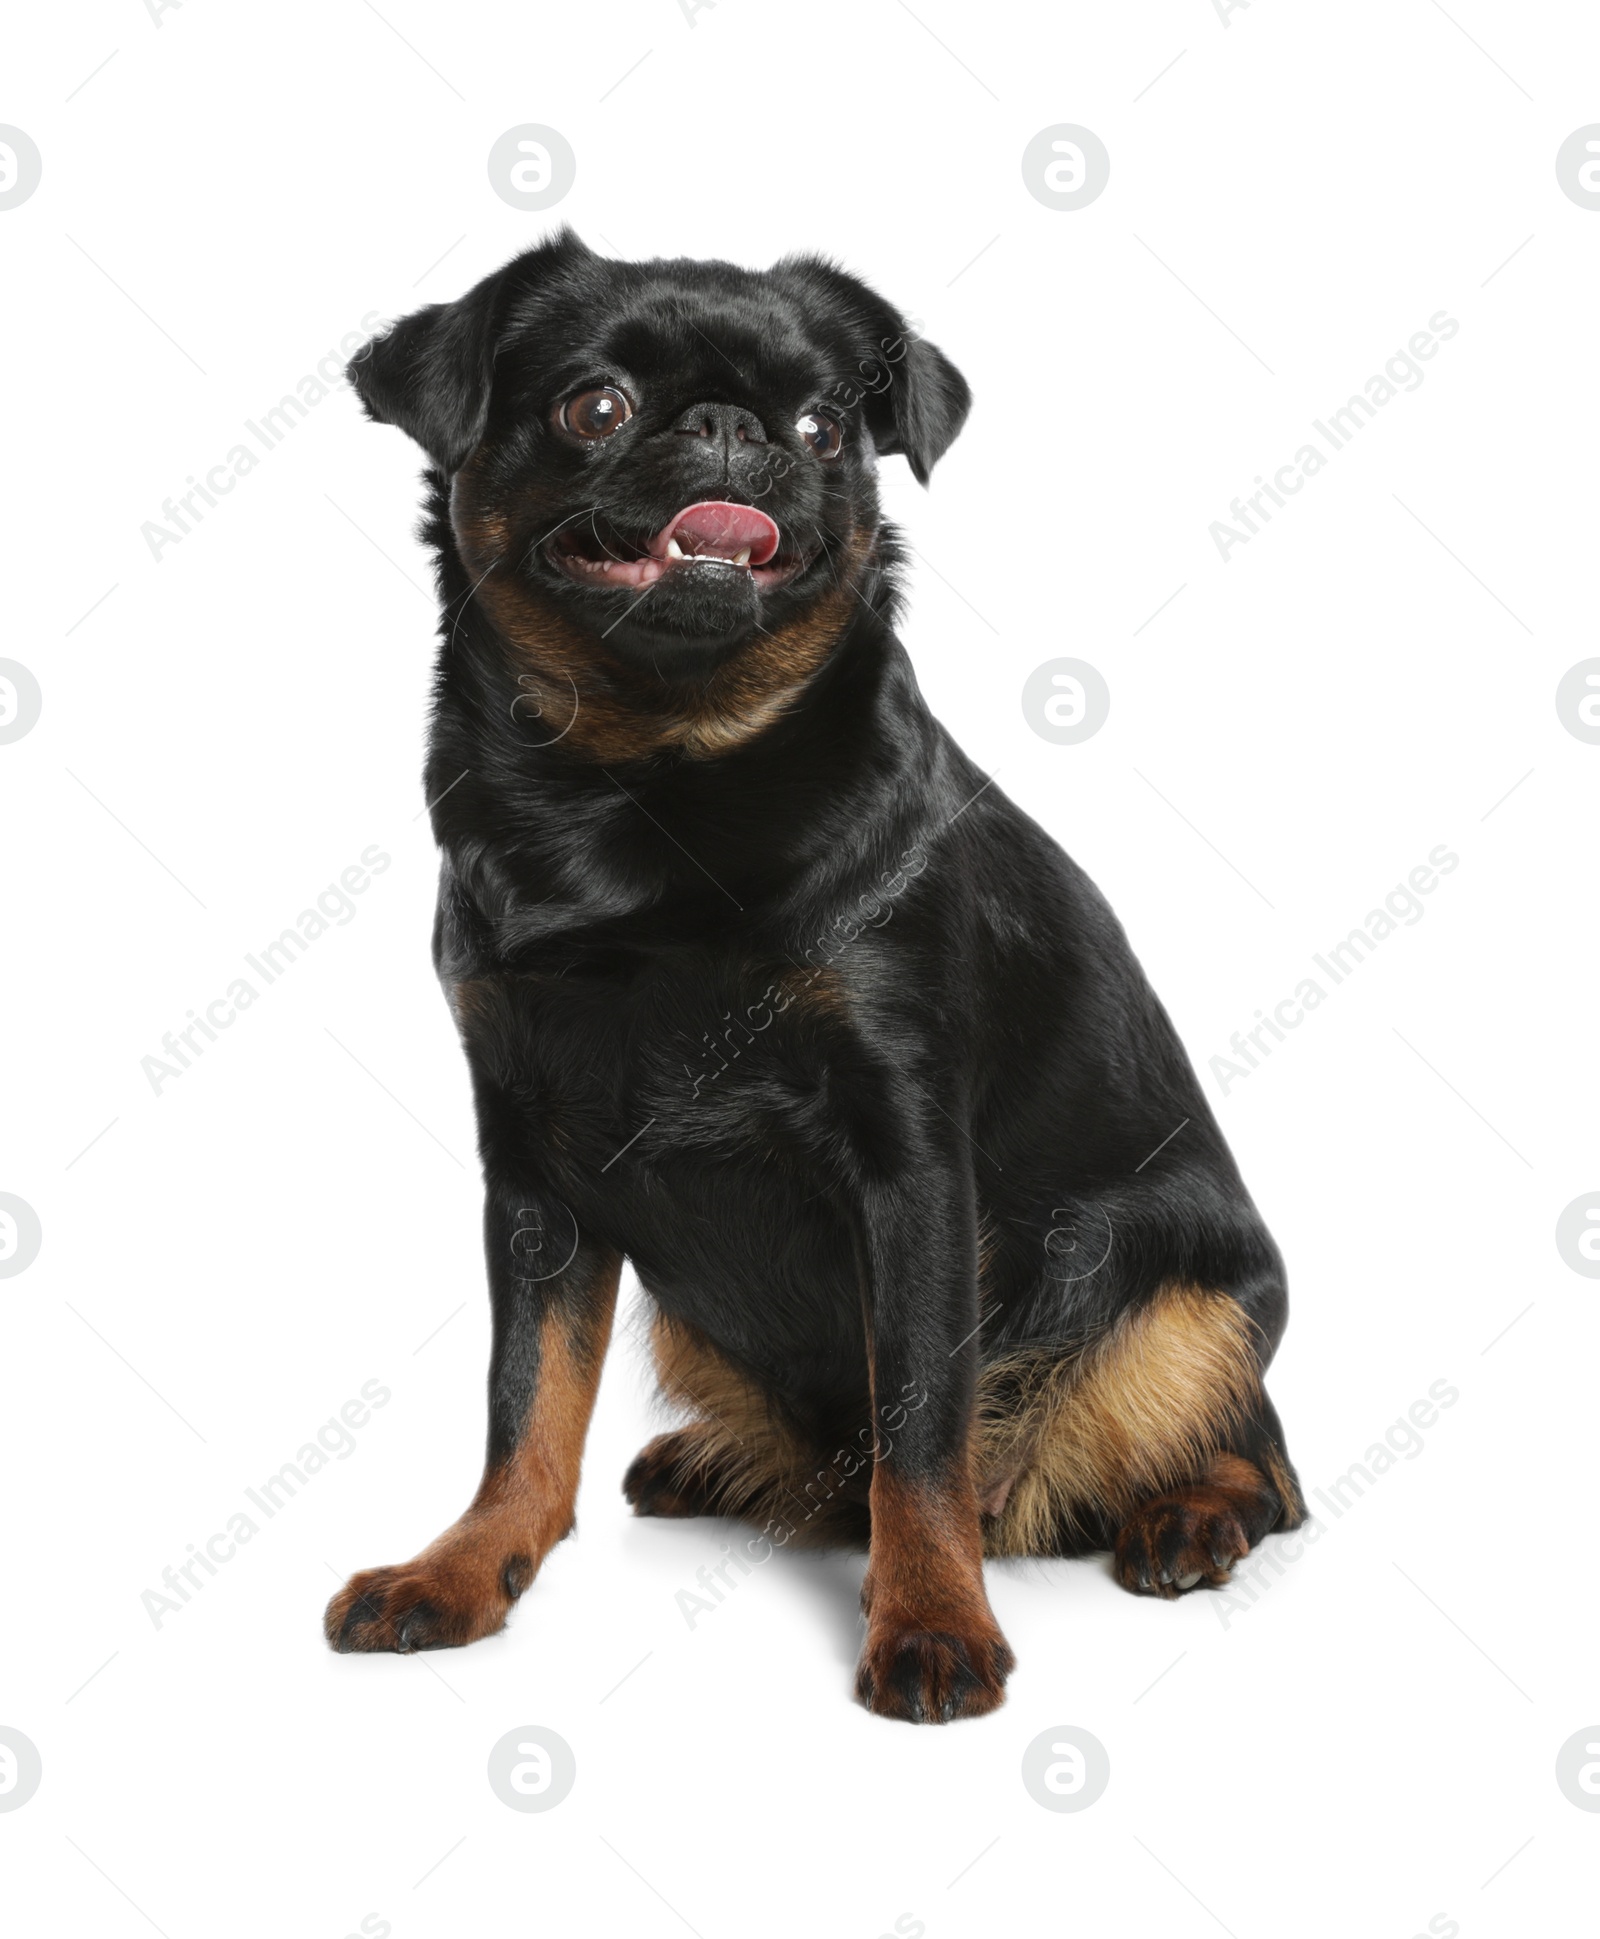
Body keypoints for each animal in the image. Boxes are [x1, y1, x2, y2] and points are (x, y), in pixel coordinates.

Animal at [321, 230, 1295, 1729]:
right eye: (594, 406)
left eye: (827, 429)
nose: (733, 429)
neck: (648, 786)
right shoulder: (532, 1177)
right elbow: (525, 1398)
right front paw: (469, 1565)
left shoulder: (912, 1170)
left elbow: (924, 1429)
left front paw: (934, 1619)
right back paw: (717, 1463)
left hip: (1184, 1294)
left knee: (1252, 1453)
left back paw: (1187, 1516)